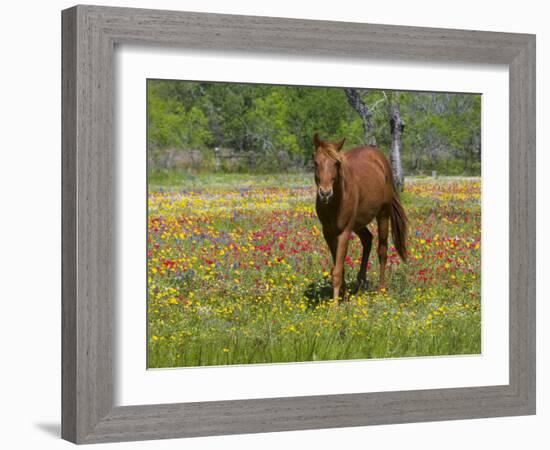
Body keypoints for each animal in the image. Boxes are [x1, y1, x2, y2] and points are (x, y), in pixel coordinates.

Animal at [314, 134, 410, 302]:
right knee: (367, 239)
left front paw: (335, 306)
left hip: (383, 215)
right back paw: (361, 283)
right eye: (315, 162)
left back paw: (381, 290)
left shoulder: (344, 232)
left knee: (382, 251)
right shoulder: (328, 233)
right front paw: (343, 297)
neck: (336, 202)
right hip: (358, 224)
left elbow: (337, 271)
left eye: (336, 163)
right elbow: (339, 268)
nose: (325, 193)